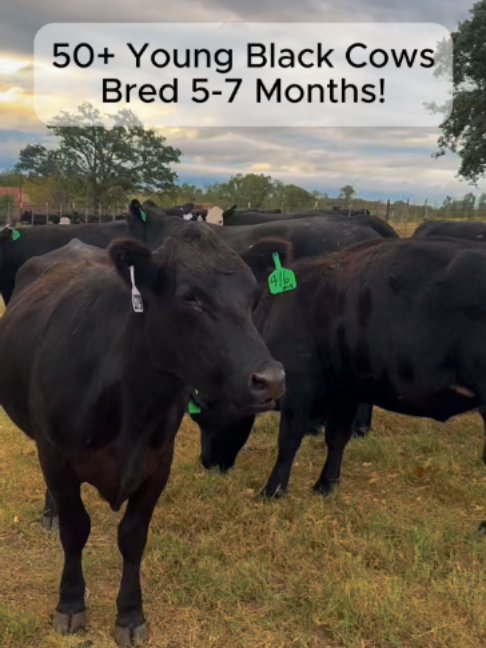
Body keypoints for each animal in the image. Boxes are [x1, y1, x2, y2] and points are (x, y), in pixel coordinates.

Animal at [0, 226, 286, 645]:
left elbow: (132, 537)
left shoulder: (157, 464)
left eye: (254, 297)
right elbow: (75, 529)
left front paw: (130, 614)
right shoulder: (57, 456)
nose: (272, 380)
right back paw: (50, 512)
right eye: (189, 297)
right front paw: (71, 604)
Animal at [196, 236, 486, 500]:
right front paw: (326, 485)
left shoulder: (298, 388)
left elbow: (289, 440)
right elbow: (337, 438)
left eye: (204, 406)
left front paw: (272, 490)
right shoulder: (346, 390)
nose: (207, 462)